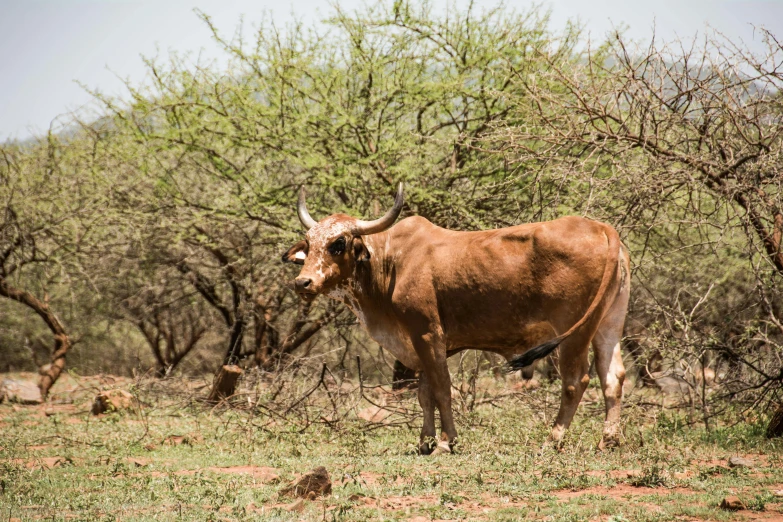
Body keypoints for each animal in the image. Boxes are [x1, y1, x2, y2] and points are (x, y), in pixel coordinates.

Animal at [284, 185, 632, 452]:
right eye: (309, 243)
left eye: (338, 243)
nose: (303, 282)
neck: (390, 262)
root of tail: (603, 229)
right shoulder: (420, 345)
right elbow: (425, 394)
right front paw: (425, 441)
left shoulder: (427, 335)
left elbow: (441, 389)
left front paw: (445, 442)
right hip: (608, 325)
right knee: (613, 377)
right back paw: (608, 441)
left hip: (574, 332)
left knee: (576, 380)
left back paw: (553, 439)